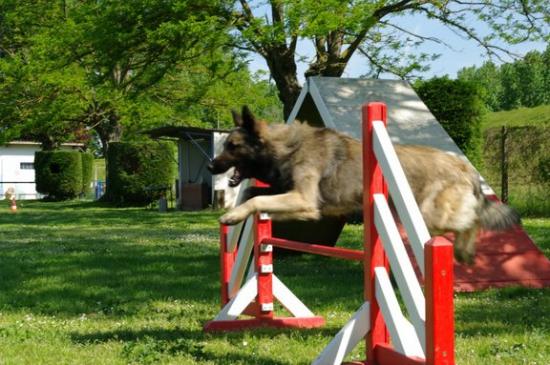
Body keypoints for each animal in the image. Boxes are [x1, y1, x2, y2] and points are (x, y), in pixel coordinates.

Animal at [207, 105, 520, 262]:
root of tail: (463, 165)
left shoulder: (304, 201)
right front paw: (241, 211)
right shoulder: (292, 195)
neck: (287, 147)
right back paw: (465, 252)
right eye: (225, 144)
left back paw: (464, 249)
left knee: (473, 220)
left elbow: (257, 199)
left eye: (232, 146)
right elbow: (254, 193)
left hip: (432, 216)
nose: (211, 166)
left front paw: (231, 215)